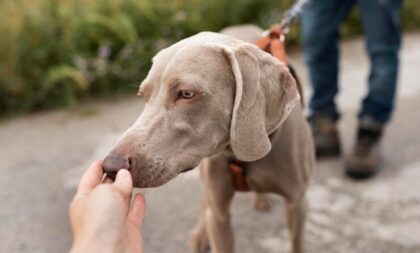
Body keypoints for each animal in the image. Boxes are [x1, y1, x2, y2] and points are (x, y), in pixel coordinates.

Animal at [103, 24, 316, 253]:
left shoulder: (297, 204)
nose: (110, 166)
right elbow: (215, 215)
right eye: (143, 96)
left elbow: (297, 242)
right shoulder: (219, 216)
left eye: (186, 94)